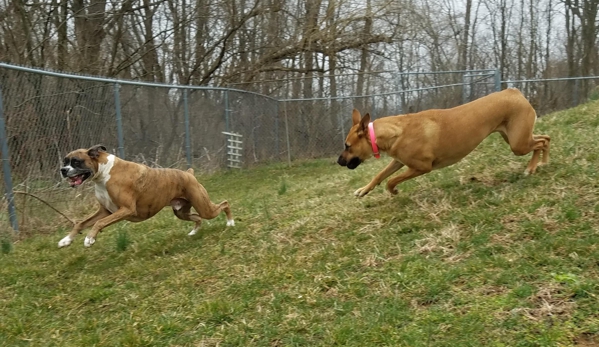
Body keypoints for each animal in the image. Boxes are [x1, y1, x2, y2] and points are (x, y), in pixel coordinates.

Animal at [57, 145, 233, 249]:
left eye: (76, 161)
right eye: (65, 161)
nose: (63, 170)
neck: (104, 173)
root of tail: (189, 174)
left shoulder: (126, 210)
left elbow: (99, 223)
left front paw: (89, 238)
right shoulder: (105, 211)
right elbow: (81, 223)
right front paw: (66, 240)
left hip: (205, 208)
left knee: (224, 203)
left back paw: (230, 223)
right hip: (181, 212)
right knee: (197, 218)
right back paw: (193, 233)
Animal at [336, 88, 552, 197]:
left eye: (347, 146)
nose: (338, 161)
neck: (394, 132)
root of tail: (513, 91)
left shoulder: (421, 167)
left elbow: (391, 180)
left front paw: (394, 190)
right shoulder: (398, 161)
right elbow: (380, 175)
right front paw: (363, 190)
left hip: (518, 144)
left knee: (541, 143)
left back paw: (532, 167)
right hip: (515, 136)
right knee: (545, 138)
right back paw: (542, 163)